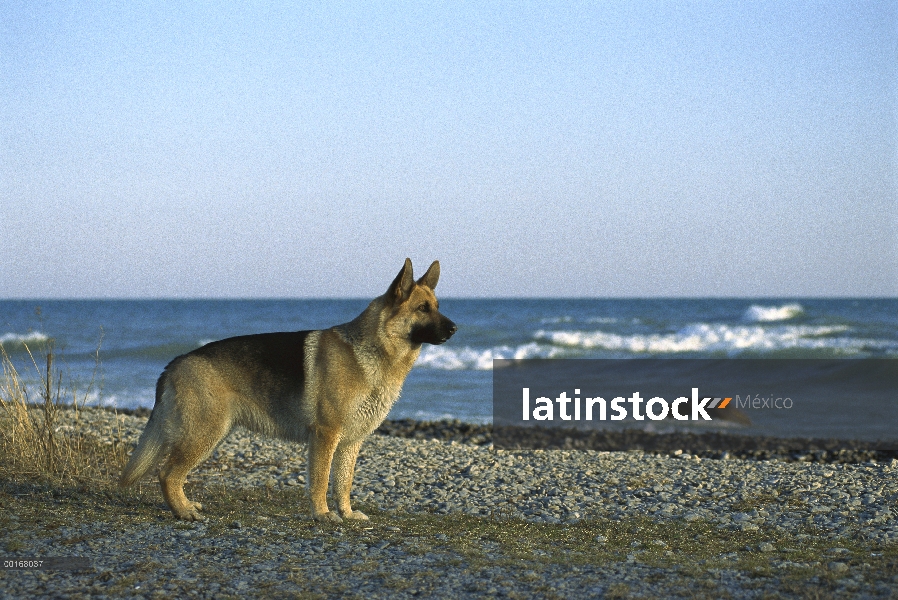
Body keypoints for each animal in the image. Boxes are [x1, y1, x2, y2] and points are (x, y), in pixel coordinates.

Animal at [121, 260, 456, 524]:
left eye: (437, 307)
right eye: (423, 308)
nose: (455, 329)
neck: (372, 350)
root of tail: (175, 362)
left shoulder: (351, 443)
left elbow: (343, 483)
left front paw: (347, 514)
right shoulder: (325, 436)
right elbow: (320, 481)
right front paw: (323, 515)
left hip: (211, 435)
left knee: (172, 474)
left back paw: (186, 505)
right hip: (204, 435)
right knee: (167, 474)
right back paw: (183, 512)